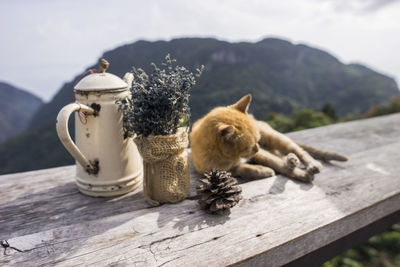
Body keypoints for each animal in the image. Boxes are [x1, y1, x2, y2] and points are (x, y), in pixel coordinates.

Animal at [191, 95, 346, 183]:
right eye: (249, 146)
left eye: (257, 140)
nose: (258, 147)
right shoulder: (214, 170)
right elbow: (242, 169)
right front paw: (263, 170)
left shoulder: (261, 154)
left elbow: (277, 164)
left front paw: (300, 174)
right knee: (283, 156)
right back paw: (291, 160)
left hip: (275, 138)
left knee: (298, 150)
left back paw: (309, 164)